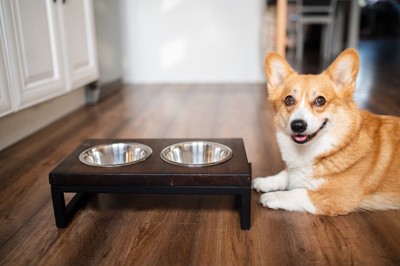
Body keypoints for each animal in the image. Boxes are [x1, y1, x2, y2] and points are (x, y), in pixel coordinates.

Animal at [252, 47, 400, 215]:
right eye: (289, 100)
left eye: (320, 100)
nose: (298, 125)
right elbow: (287, 174)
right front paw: (266, 181)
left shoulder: (336, 197)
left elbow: (299, 192)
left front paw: (274, 196)